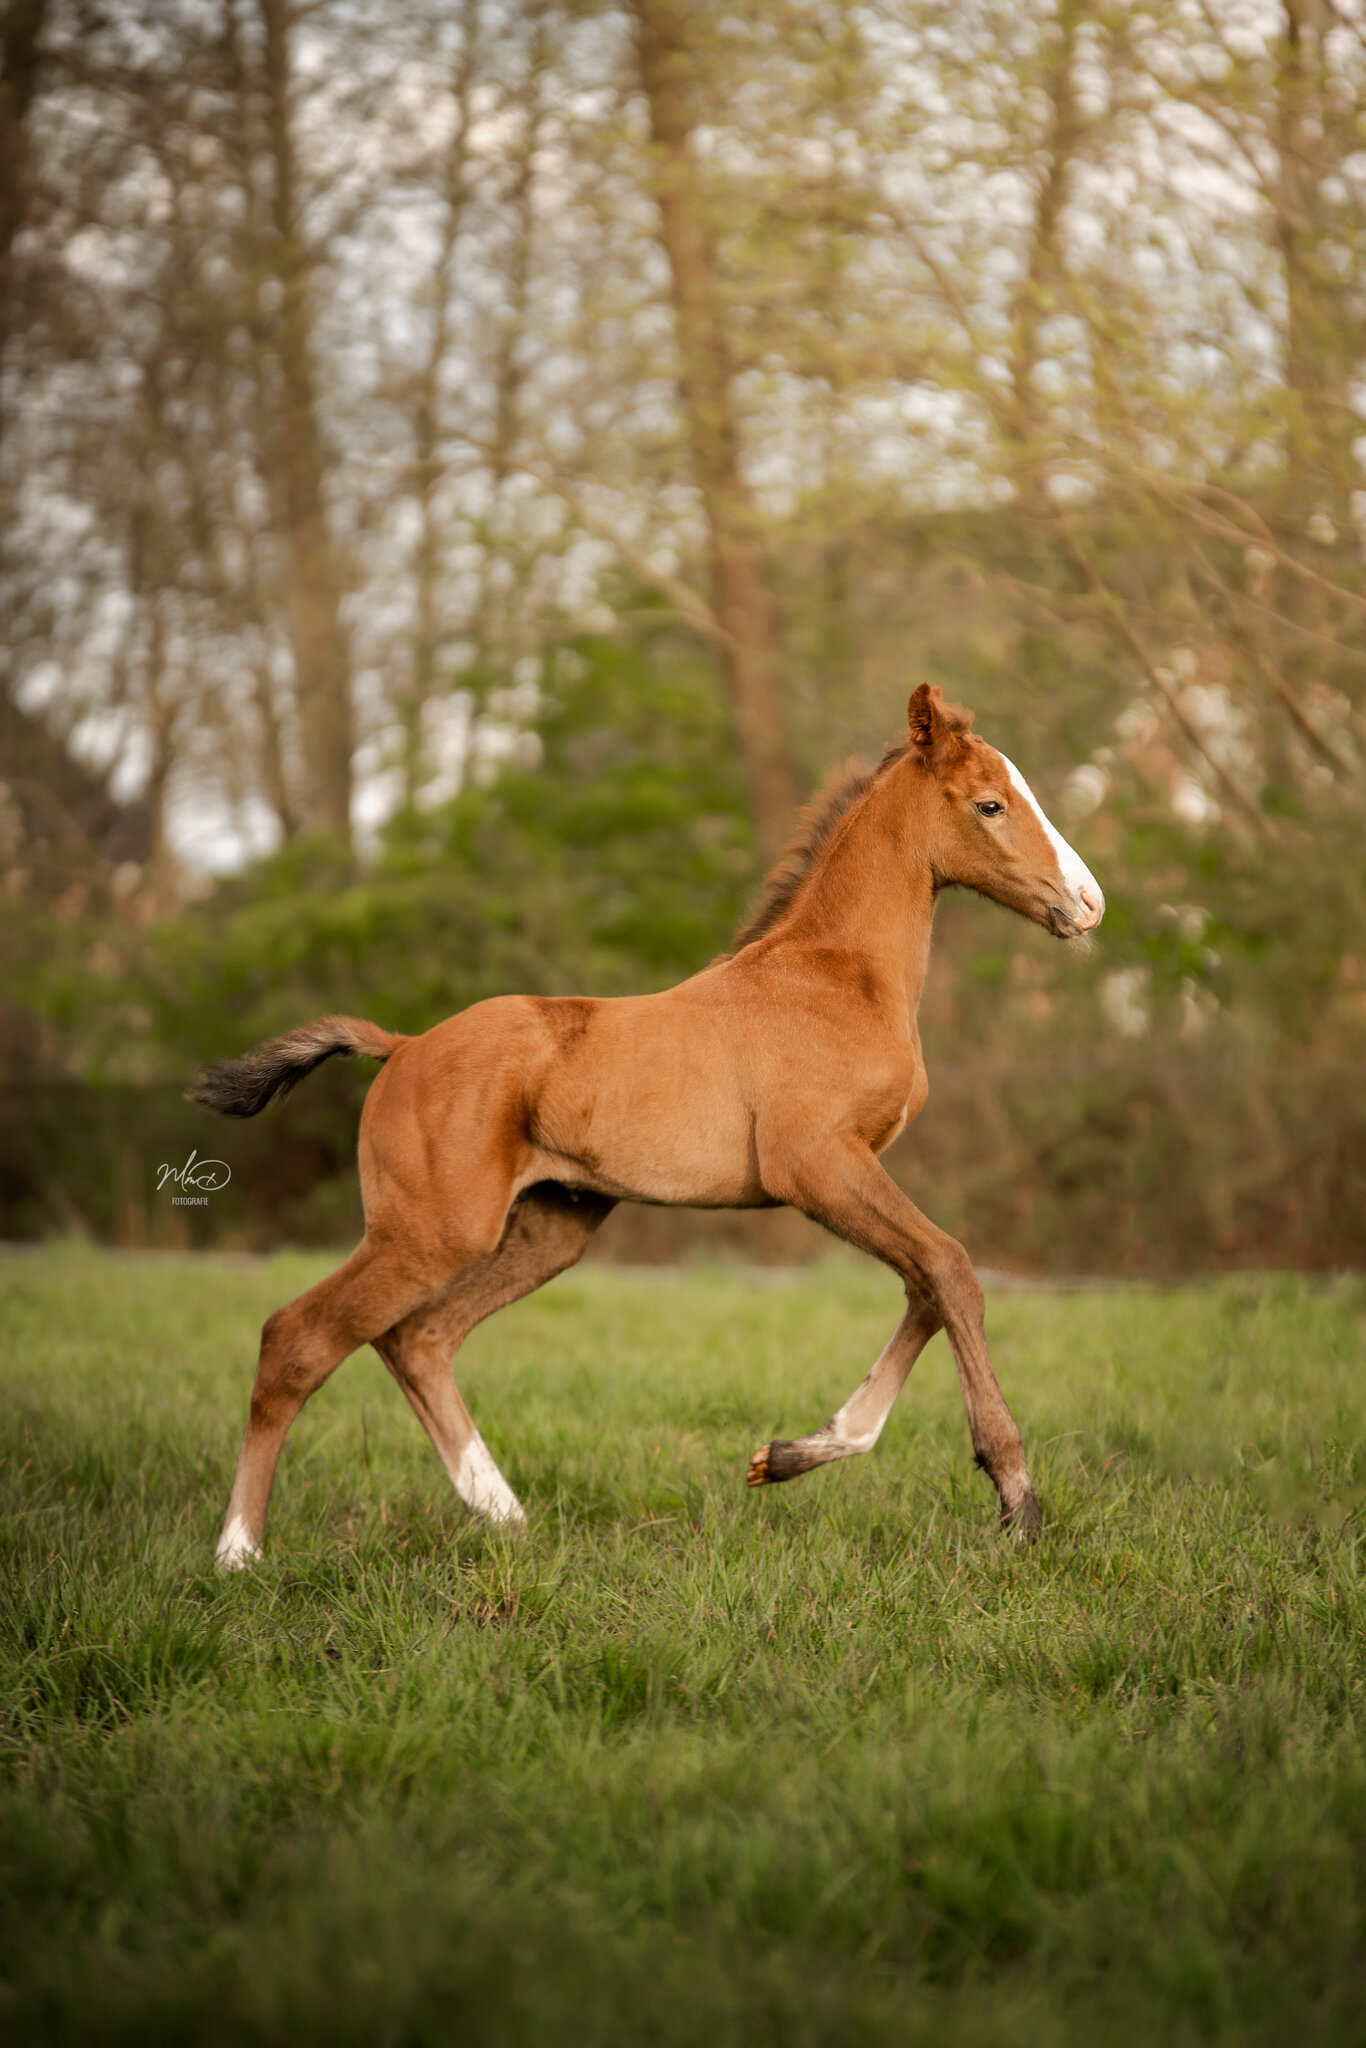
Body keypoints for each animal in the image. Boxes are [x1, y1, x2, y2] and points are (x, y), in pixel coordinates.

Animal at [197, 688, 1105, 1564]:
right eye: (990, 804)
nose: (1088, 903)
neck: (835, 976)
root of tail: (404, 1045)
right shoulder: (816, 1165)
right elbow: (950, 1269)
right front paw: (1017, 1501)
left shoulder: (852, 1170)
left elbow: (928, 1282)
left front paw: (784, 1457)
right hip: (431, 1231)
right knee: (298, 1338)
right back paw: (238, 1553)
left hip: (549, 1227)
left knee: (418, 1338)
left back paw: (509, 1520)